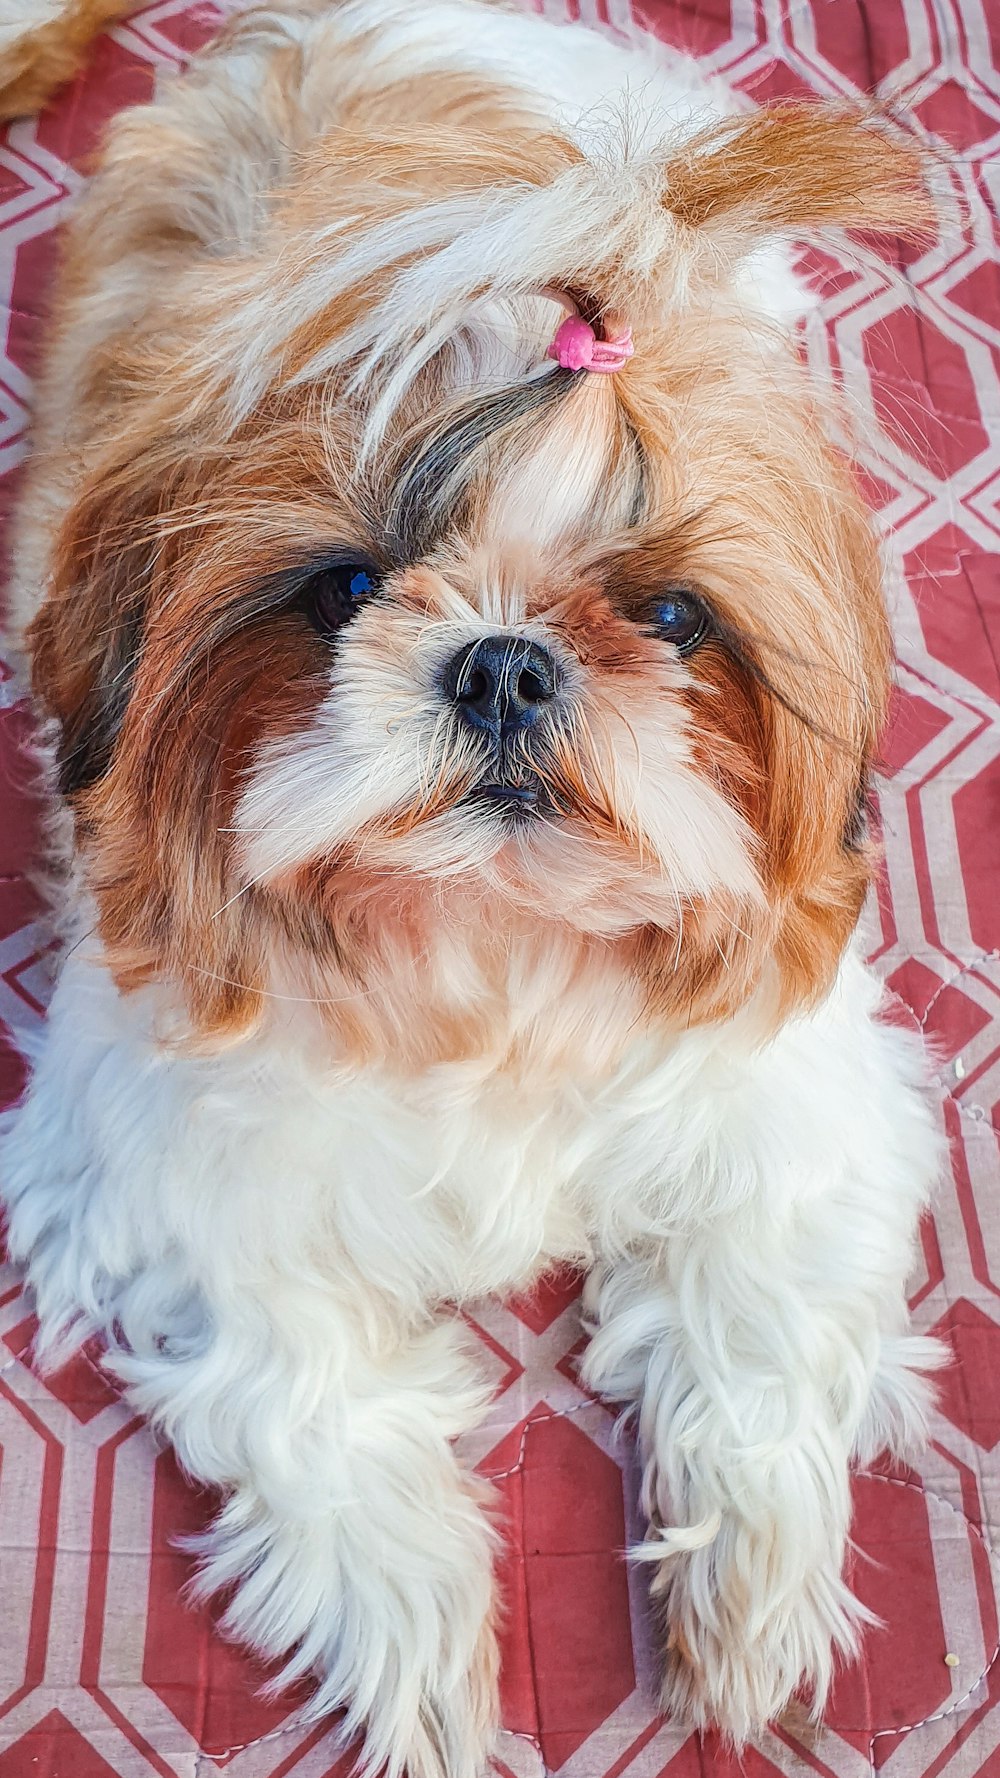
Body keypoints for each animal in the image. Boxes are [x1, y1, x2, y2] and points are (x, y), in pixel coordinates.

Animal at [0, 3, 946, 1778]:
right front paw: (418, 1630)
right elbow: (305, 1386)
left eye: (673, 617)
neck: (493, 950)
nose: (503, 659)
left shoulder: (790, 1107)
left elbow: (760, 1316)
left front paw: (748, 1596)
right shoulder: (166, 1175)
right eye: (345, 589)